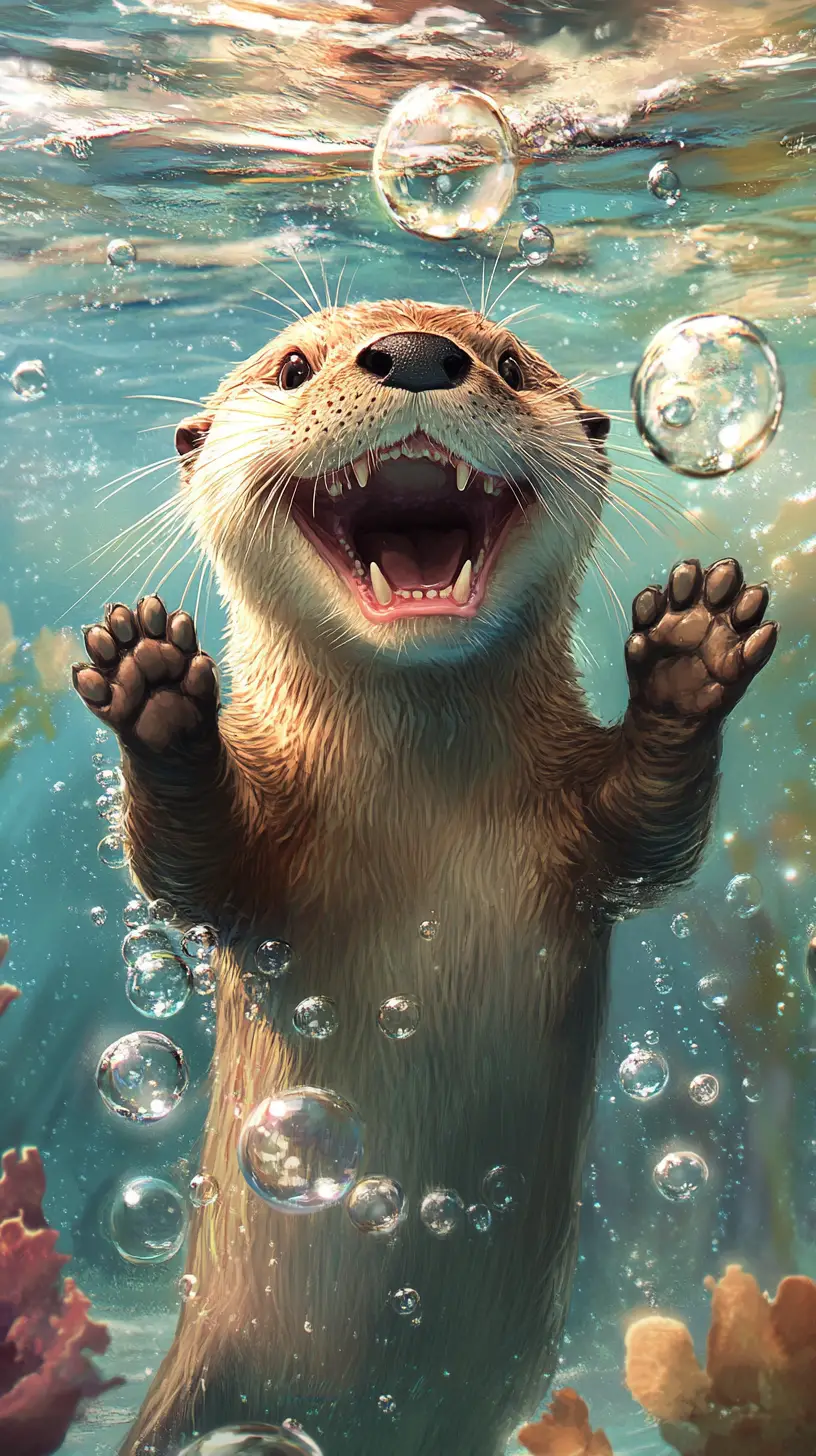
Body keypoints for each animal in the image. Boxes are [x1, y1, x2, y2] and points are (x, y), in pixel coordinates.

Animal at [72, 300, 777, 1456]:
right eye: (293, 366)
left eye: (513, 364)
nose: (411, 352)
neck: (417, 814)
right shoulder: (263, 870)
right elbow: (185, 867)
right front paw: (153, 684)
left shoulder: (582, 833)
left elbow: (656, 835)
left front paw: (691, 649)